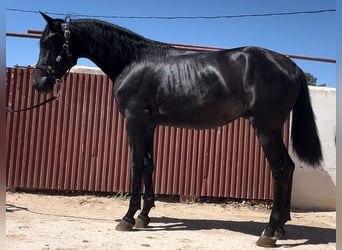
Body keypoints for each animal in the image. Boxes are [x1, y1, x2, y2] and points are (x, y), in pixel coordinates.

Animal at [33, 12, 322, 247]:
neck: (133, 61)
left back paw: (269, 232)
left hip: (266, 129)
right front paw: (144, 216)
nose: (39, 83)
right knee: (289, 166)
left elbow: (136, 165)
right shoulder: (149, 126)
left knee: (280, 170)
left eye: (49, 43)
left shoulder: (134, 121)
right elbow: (149, 165)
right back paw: (282, 227)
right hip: (273, 129)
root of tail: (292, 66)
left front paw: (128, 218)